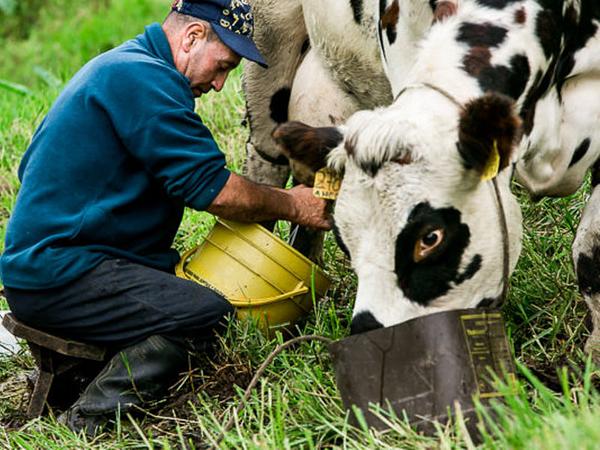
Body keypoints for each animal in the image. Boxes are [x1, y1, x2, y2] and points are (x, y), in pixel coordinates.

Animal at [243, 0, 600, 360]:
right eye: (345, 241)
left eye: (431, 237)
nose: (377, 342)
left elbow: (590, 247)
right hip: (267, 47)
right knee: (265, 169)